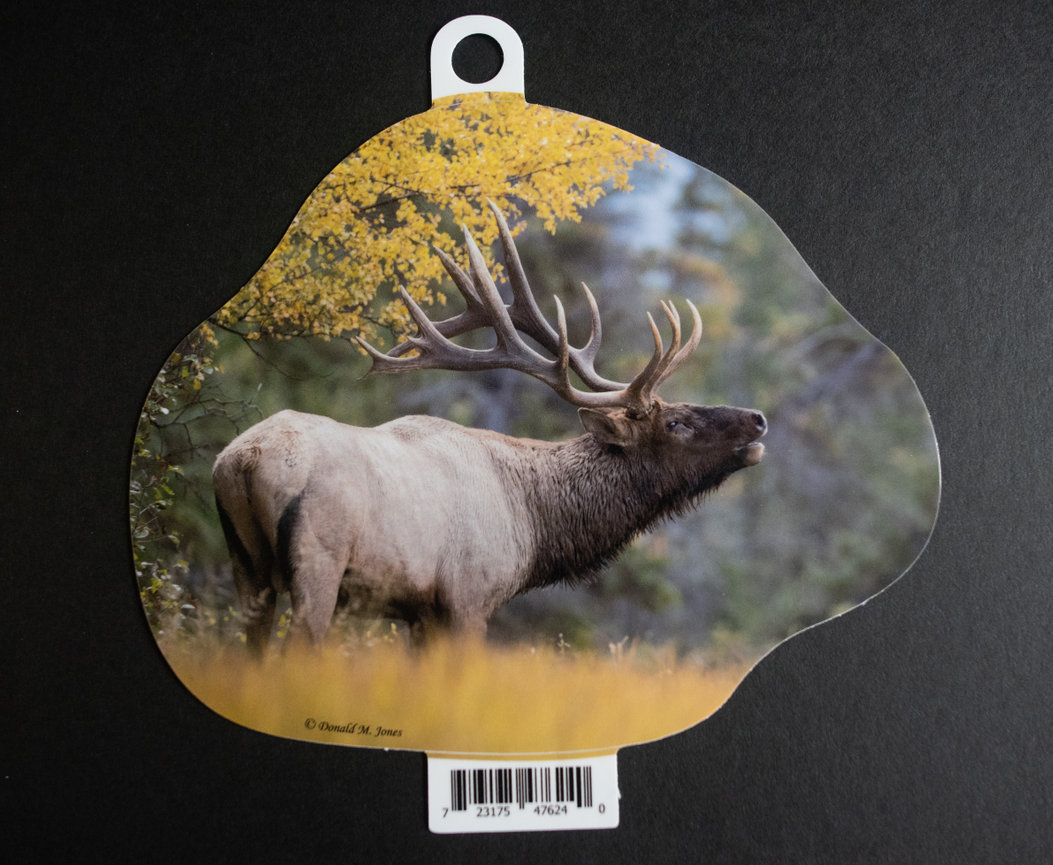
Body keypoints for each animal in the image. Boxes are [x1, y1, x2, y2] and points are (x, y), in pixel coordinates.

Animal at [212, 202, 767, 654]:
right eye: (675, 421)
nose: (757, 419)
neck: (535, 525)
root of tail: (240, 462)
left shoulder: (419, 613)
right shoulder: (468, 598)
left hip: (247, 570)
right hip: (318, 561)